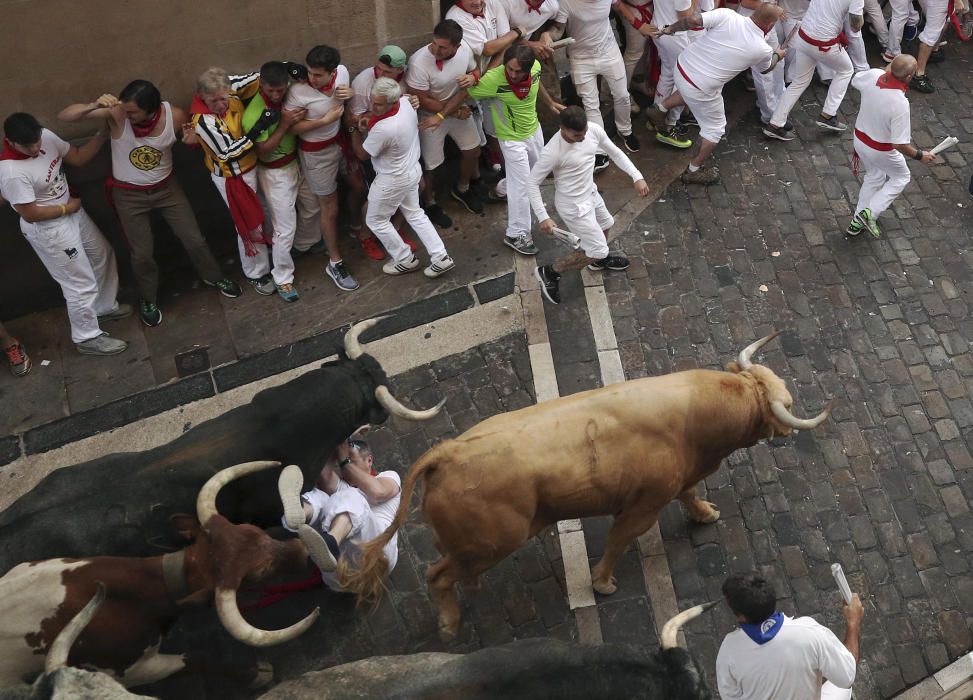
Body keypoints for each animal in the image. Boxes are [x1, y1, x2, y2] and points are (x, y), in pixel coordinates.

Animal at [0, 460, 316, 688]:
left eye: (251, 531)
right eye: (261, 571)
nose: (302, 549)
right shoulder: (136, 669)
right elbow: (196, 658)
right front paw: (256, 674)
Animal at [340, 334, 828, 640]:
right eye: (785, 401)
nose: (787, 429)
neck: (695, 413)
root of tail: (448, 451)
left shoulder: (677, 481)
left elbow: (690, 495)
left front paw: (706, 515)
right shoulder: (641, 506)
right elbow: (618, 540)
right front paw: (603, 583)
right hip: (495, 540)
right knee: (437, 575)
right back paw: (448, 624)